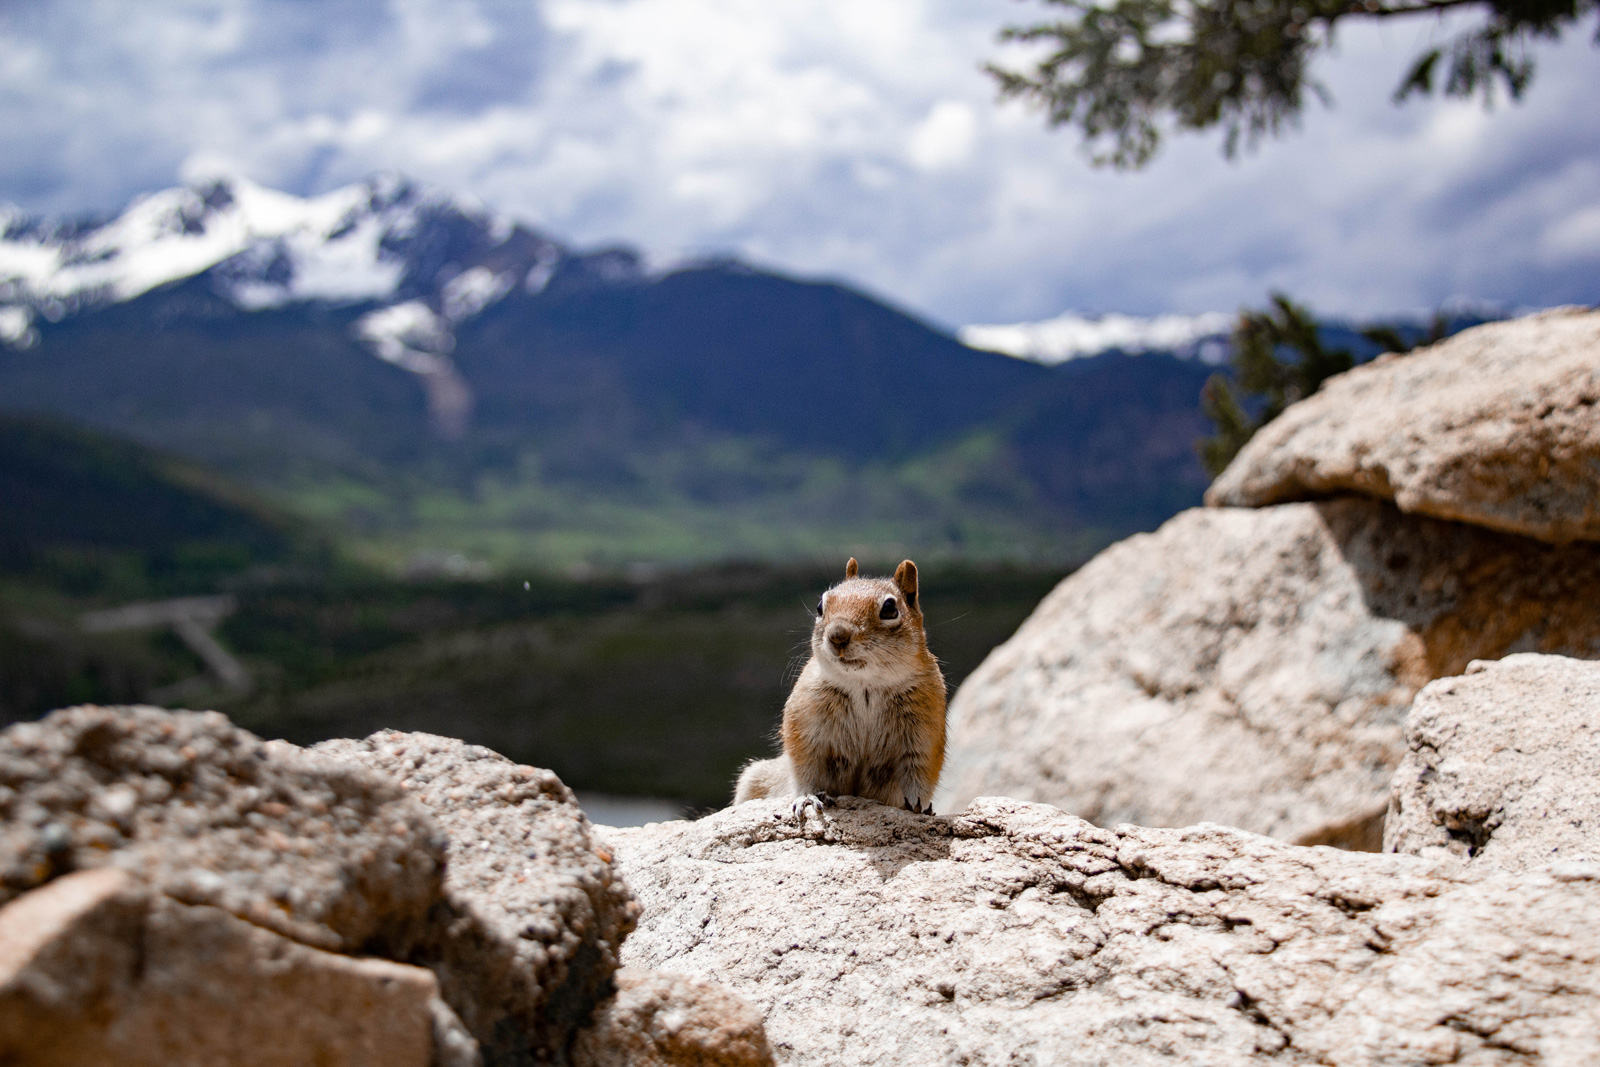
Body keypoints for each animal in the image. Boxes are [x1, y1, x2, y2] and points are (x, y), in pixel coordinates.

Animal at [734, 558, 947, 818]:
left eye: (889, 609)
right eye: (819, 606)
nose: (837, 636)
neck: (865, 684)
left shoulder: (925, 731)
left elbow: (920, 773)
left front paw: (918, 807)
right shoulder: (806, 725)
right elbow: (804, 766)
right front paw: (807, 797)